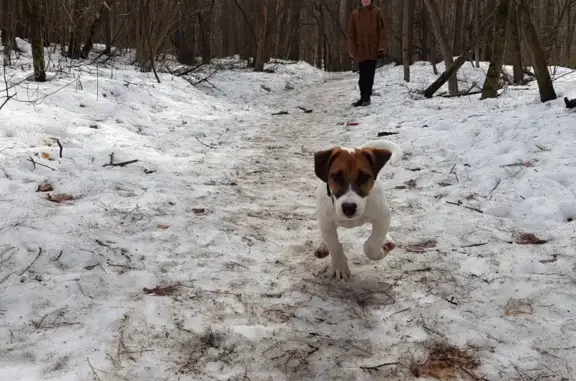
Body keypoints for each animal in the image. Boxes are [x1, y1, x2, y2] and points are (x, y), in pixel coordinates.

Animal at [312, 139, 402, 280]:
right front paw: (339, 266)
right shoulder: (326, 221)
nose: (349, 208)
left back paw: (387, 241)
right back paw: (323, 245)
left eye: (364, 177)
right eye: (336, 176)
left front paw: (381, 252)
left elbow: (372, 245)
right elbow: (334, 245)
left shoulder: (383, 216)